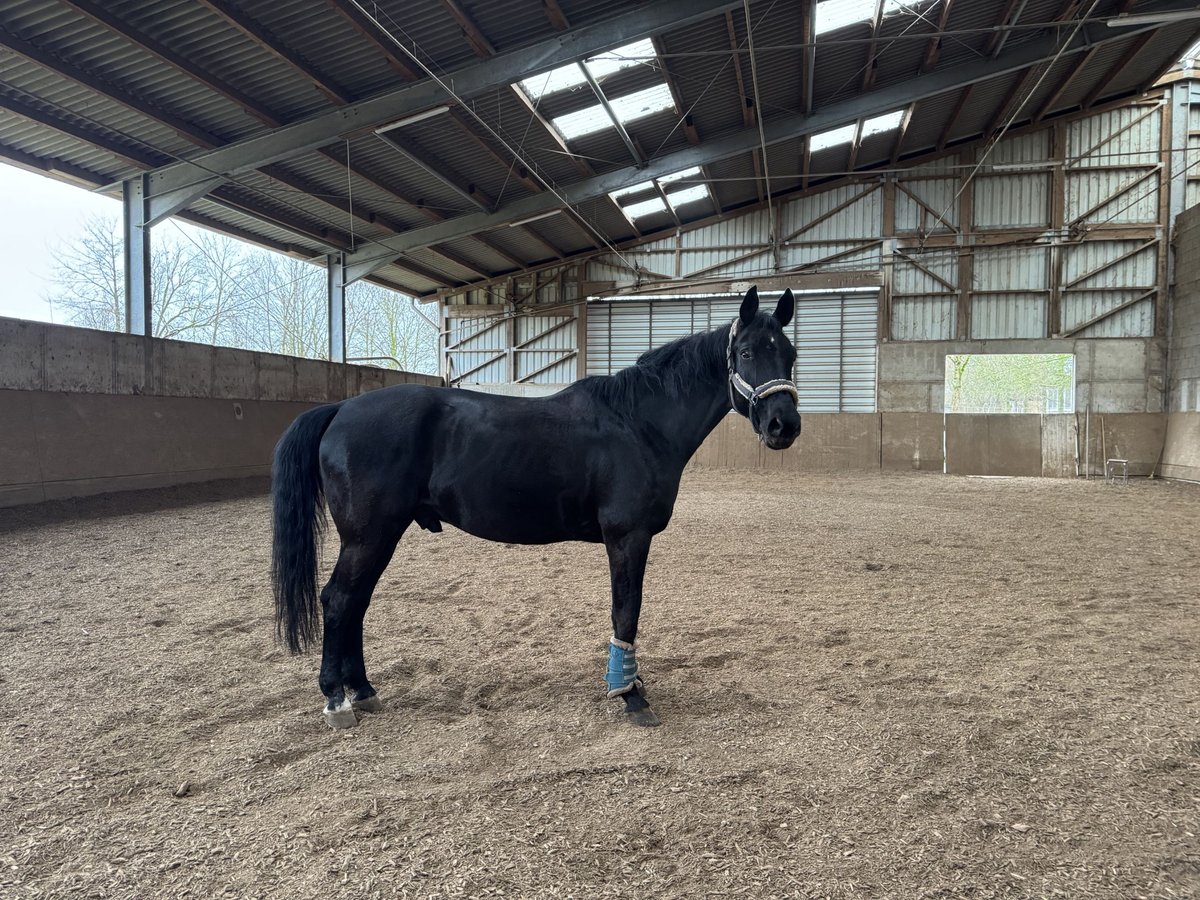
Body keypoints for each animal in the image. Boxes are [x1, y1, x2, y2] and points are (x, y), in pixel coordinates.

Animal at [271, 285, 796, 729]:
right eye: (747, 352)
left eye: (790, 354)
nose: (783, 425)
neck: (637, 423)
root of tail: (340, 410)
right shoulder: (627, 537)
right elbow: (626, 611)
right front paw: (629, 694)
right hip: (369, 536)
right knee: (339, 601)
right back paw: (337, 700)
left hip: (376, 537)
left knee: (355, 603)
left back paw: (362, 690)